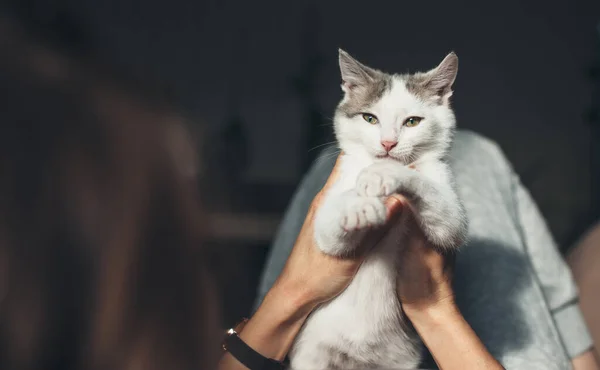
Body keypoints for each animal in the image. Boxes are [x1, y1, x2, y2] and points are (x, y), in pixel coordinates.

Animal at [290, 49, 468, 370]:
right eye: (369, 118)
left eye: (412, 122)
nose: (388, 143)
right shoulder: (325, 218)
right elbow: (330, 233)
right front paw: (358, 206)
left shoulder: (449, 210)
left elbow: (445, 217)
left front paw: (386, 173)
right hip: (311, 355)